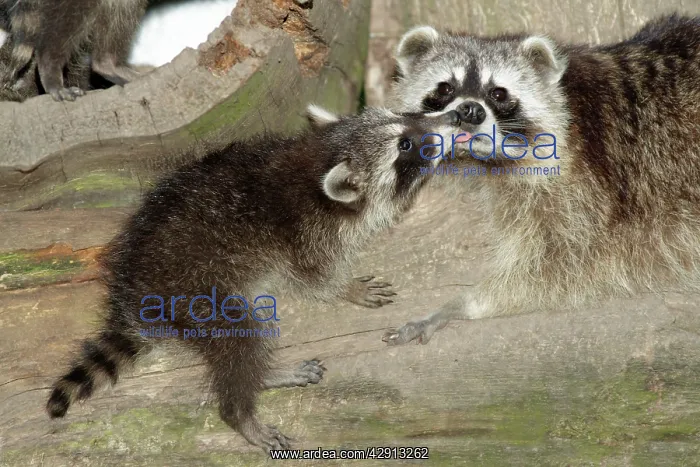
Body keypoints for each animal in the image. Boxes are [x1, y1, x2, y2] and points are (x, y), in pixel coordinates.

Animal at [45, 105, 462, 451]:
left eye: (405, 115)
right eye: (404, 143)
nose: (456, 116)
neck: (316, 161)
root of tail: (132, 291)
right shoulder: (304, 235)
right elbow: (315, 279)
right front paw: (349, 288)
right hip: (199, 291)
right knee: (241, 341)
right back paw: (242, 409)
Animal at [382, 14, 700, 346]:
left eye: (498, 93)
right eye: (445, 88)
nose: (469, 110)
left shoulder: (589, 189)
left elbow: (569, 264)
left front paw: (463, 304)